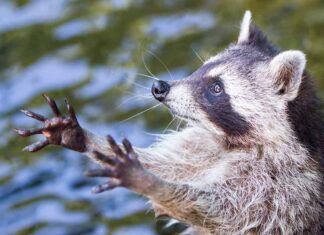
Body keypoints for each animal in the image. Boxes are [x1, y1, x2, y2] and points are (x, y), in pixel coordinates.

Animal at [17, 11, 324, 235]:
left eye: (216, 88)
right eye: (201, 68)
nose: (159, 88)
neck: (230, 140)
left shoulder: (283, 189)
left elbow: (217, 210)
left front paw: (149, 182)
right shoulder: (204, 144)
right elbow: (168, 165)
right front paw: (84, 137)